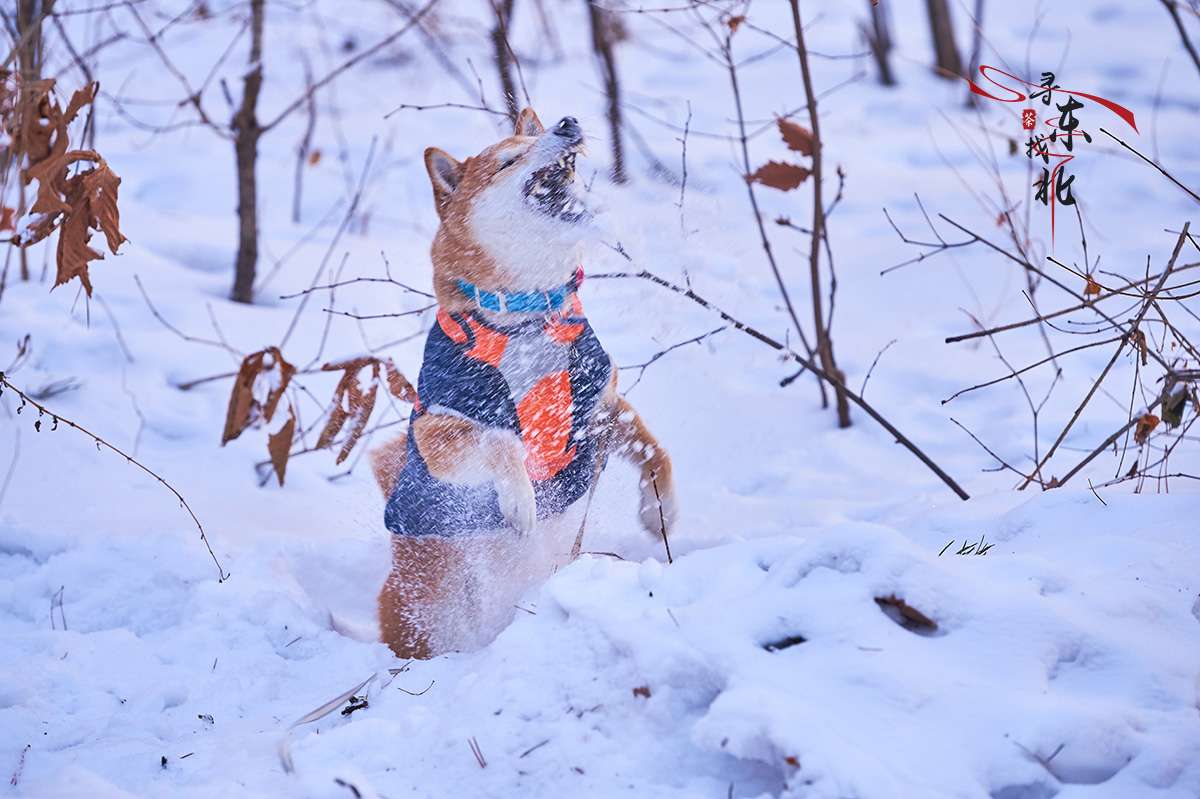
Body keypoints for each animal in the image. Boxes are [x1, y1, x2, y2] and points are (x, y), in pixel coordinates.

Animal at [369, 109, 681, 657]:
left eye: (532, 138)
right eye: (508, 159)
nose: (567, 122)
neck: (531, 316)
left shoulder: (599, 406)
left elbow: (654, 449)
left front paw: (656, 509)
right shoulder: (438, 432)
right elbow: (500, 438)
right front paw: (519, 498)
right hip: (426, 608)